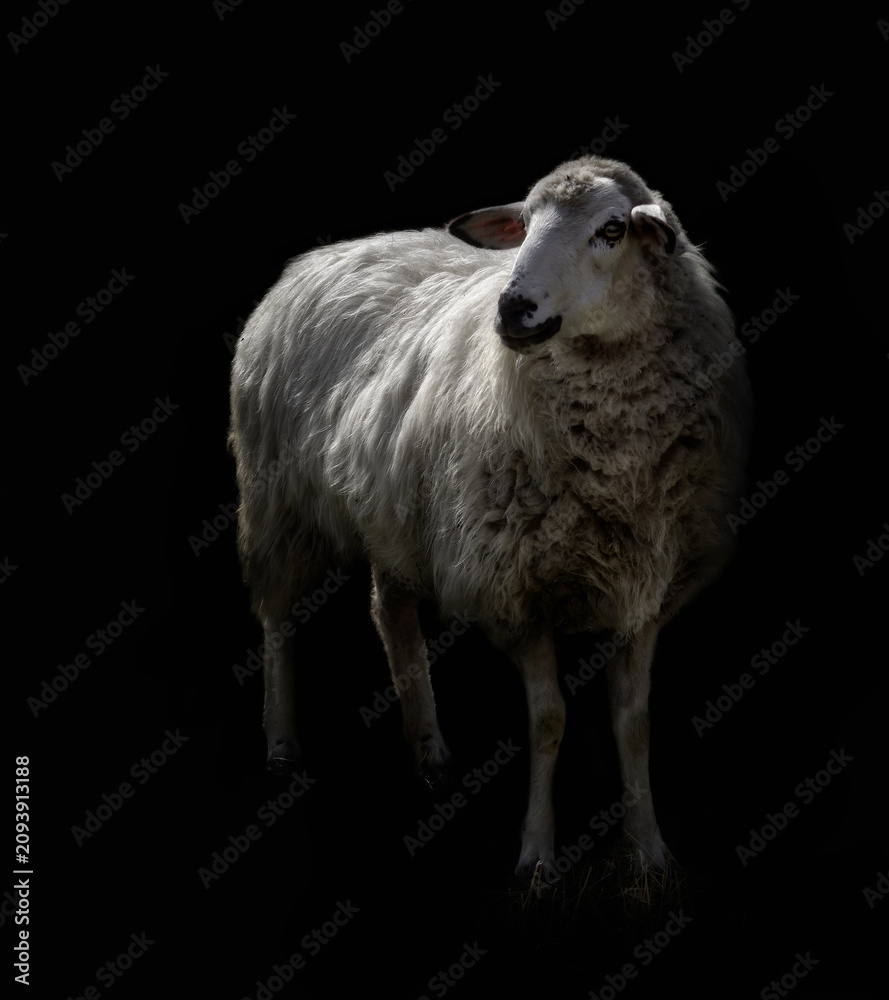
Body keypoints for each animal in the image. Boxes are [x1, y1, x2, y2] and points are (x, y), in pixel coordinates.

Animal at [228, 155, 753, 878]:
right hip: (276, 500)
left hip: (393, 513)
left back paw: (429, 752)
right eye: (524, 225)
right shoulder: (516, 590)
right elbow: (549, 721)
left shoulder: (646, 592)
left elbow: (633, 722)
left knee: (390, 614)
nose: (512, 307)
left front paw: (648, 850)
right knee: (277, 618)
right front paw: (536, 855)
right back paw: (280, 744)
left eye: (612, 229)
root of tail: (319, 255)